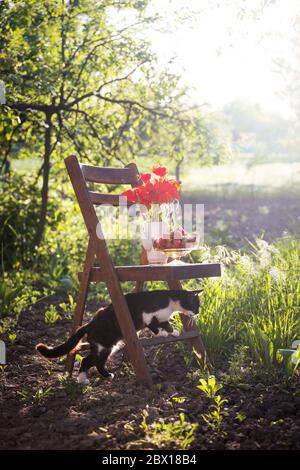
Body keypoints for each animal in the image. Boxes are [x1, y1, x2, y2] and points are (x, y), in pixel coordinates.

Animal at [36, 288, 203, 384]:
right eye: (195, 305)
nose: (197, 313)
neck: (169, 303)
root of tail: (90, 324)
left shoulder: (162, 317)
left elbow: (166, 323)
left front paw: (173, 331)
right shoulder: (147, 315)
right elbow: (153, 325)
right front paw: (161, 333)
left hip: (106, 347)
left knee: (91, 361)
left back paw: (93, 377)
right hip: (104, 346)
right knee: (91, 361)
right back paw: (93, 378)